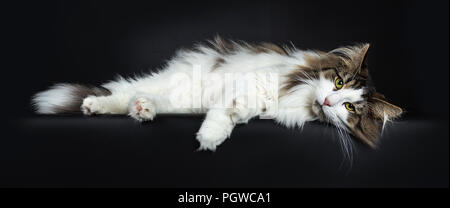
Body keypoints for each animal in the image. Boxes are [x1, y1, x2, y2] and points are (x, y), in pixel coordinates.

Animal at [32, 36, 404, 151]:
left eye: (350, 108)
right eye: (339, 83)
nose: (327, 101)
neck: (300, 96)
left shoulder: (255, 103)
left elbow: (233, 114)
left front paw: (213, 135)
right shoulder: (250, 84)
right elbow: (224, 112)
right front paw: (209, 137)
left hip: (180, 102)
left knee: (139, 100)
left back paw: (142, 110)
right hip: (177, 86)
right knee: (124, 92)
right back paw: (94, 105)